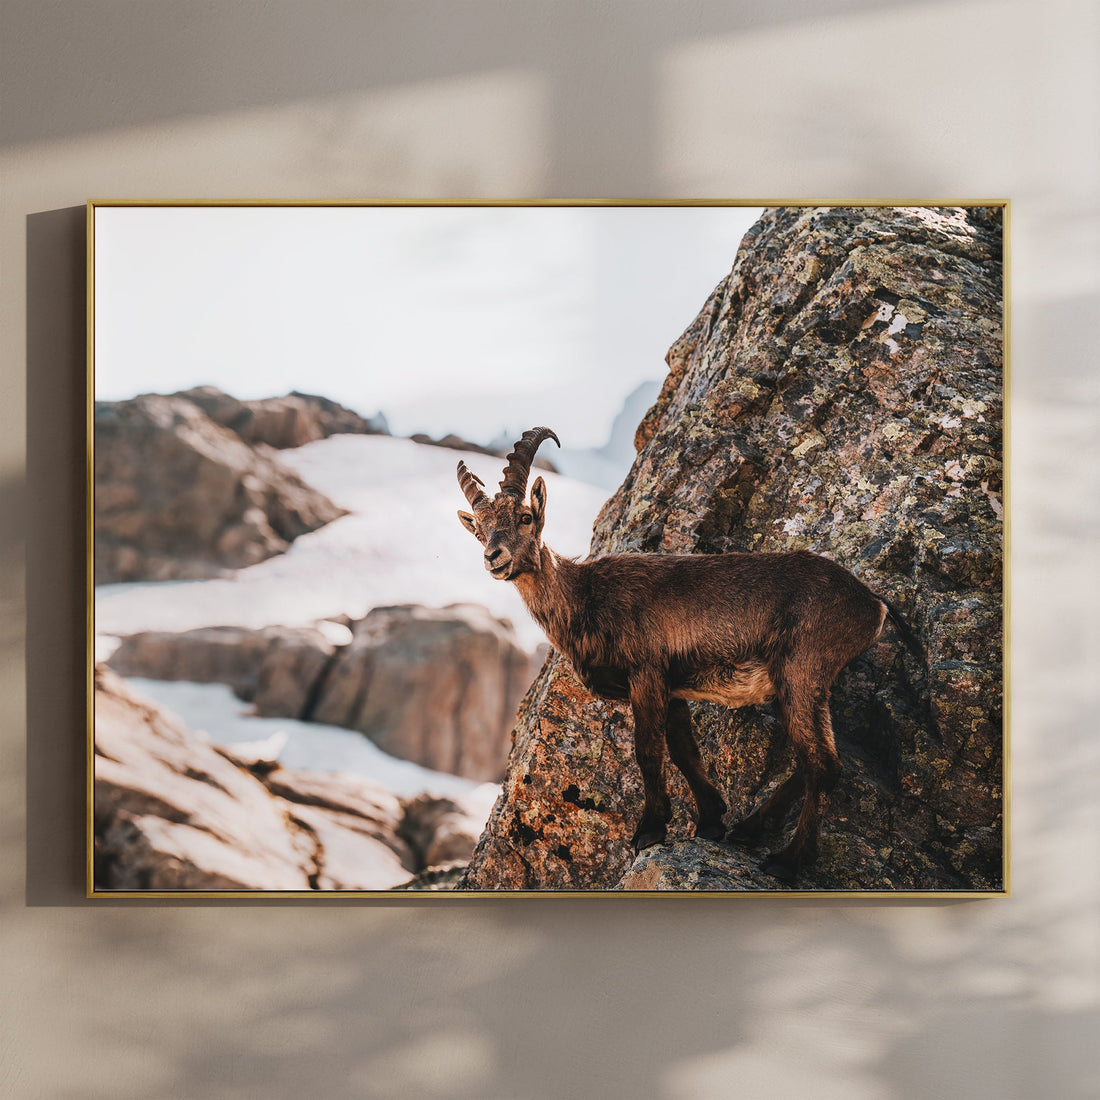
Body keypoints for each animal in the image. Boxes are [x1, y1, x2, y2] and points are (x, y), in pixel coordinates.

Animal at [456, 427, 922, 880]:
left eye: (525, 516)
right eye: (479, 529)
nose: (493, 556)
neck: (586, 598)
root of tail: (872, 602)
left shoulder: (646, 674)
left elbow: (648, 752)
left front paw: (650, 830)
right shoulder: (673, 688)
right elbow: (684, 751)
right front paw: (712, 820)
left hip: (802, 670)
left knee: (823, 764)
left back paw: (789, 861)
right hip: (800, 685)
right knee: (812, 762)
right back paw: (749, 830)